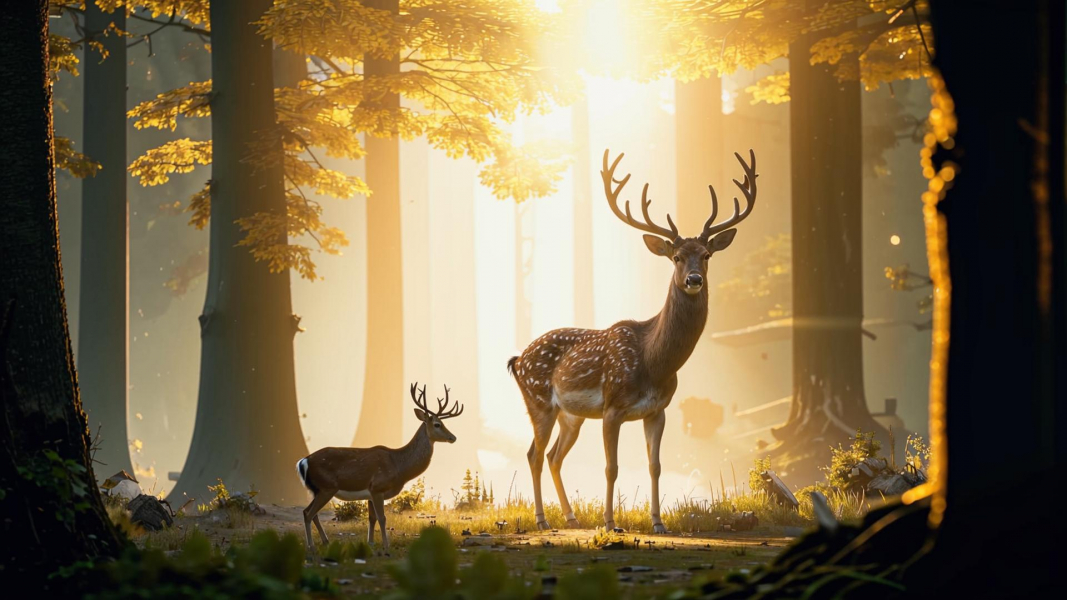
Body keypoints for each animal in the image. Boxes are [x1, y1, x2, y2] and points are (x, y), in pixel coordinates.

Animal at [295, 383, 462, 554]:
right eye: (437, 424)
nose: (453, 437)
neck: (399, 467)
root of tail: (303, 461)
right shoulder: (377, 487)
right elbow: (382, 518)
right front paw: (386, 546)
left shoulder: (369, 493)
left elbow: (372, 518)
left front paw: (370, 544)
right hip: (327, 487)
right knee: (308, 513)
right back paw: (311, 546)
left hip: (317, 489)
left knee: (309, 512)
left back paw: (325, 541)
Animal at [508, 148, 758, 534]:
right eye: (676, 257)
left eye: (707, 255)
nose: (695, 279)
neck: (653, 362)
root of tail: (518, 359)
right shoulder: (612, 407)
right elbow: (611, 467)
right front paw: (611, 523)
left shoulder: (659, 409)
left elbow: (655, 466)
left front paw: (658, 523)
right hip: (538, 401)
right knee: (534, 454)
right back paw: (543, 520)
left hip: (571, 415)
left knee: (553, 456)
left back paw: (571, 516)